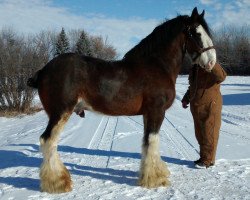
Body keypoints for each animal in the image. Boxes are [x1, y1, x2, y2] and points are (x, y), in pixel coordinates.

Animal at [26, 7, 216, 193]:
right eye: (197, 33)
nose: (212, 62)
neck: (157, 65)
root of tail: (43, 70)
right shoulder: (157, 111)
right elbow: (153, 141)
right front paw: (156, 179)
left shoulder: (147, 114)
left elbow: (146, 143)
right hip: (60, 113)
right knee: (48, 141)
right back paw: (58, 183)